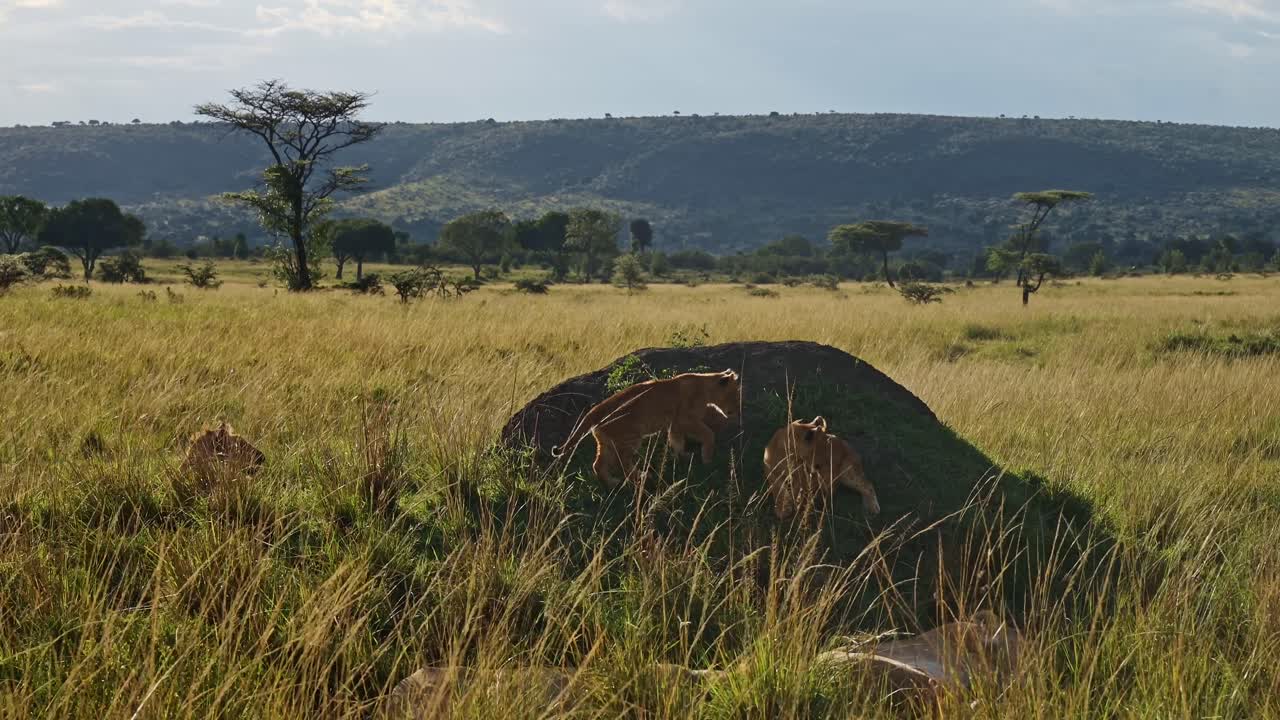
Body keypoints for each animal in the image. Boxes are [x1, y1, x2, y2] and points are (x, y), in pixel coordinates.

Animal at [551, 369, 741, 487]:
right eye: (735, 394)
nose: (737, 411)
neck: (705, 386)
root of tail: (594, 411)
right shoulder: (686, 419)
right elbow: (708, 434)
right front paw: (707, 459)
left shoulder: (675, 424)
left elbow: (677, 441)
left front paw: (683, 456)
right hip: (631, 438)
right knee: (622, 463)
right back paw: (642, 477)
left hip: (607, 443)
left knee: (598, 465)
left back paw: (613, 483)